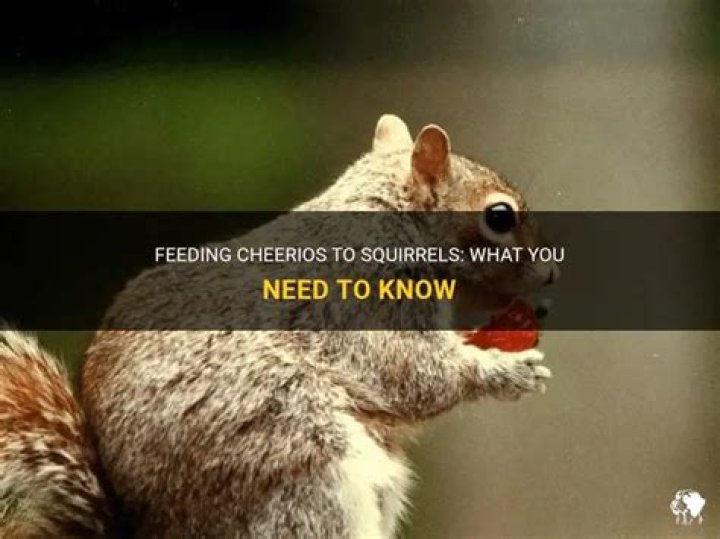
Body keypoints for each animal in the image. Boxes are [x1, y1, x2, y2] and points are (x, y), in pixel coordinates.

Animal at [0, 114, 557, 538]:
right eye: (499, 217)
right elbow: (412, 376)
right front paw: (506, 372)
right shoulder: (368, 302)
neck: (392, 221)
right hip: (301, 466)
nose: (550, 275)